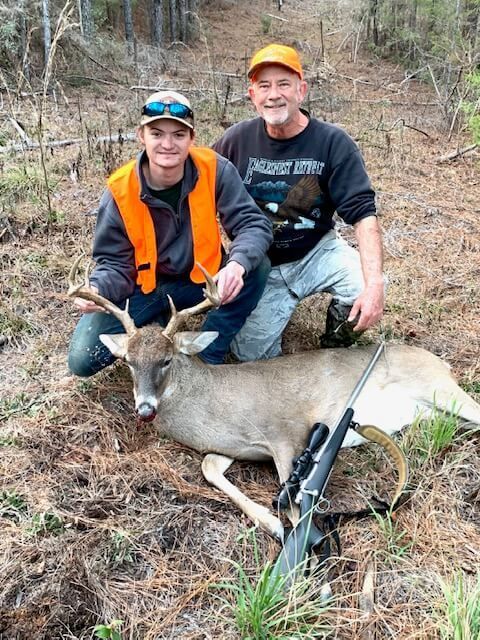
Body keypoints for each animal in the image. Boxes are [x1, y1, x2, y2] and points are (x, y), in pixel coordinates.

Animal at [68, 258, 480, 542]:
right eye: (128, 361)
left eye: (167, 359)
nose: (145, 409)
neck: (213, 404)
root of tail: (440, 361)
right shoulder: (232, 446)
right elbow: (209, 468)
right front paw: (272, 525)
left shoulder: (287, 433)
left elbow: (296, 505)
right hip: (432, 412)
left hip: (438, 387)